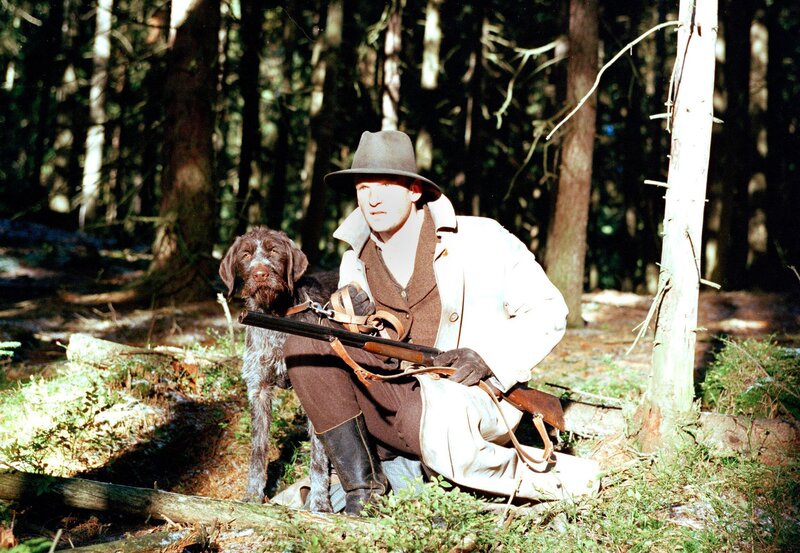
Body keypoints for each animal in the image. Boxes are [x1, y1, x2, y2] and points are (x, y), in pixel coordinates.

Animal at [219, 226, 338, 512]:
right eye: (245, 254)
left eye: (274, 251)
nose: (260, 273)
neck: (276, 318)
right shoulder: (258, 389)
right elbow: (258, 450)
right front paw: (252, 495)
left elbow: (319, 456)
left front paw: (320, 502)